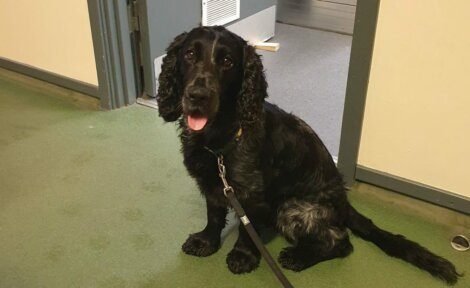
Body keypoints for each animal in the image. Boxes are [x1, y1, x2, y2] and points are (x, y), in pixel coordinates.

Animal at [156, 25, 460, 284]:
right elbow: (214, 216)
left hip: (293, 208)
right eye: (189, 54)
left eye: (227, 62)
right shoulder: (212, 183)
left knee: (341, 242)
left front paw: (243, 256)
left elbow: (246, 228)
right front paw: (206, 242)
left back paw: (300, 256)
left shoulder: (251, 195)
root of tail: (345, 205)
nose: (197, 95)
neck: (221, 138)